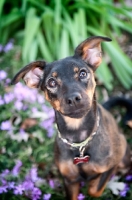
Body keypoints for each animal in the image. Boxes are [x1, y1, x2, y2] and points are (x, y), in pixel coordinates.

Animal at [11, 36, 131, 200]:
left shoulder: (112, 164)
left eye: (82, 73)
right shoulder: (69, 180)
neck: (78, 138)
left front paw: (93, 181)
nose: (73, 99)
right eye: (52, 82)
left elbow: (95, 189)